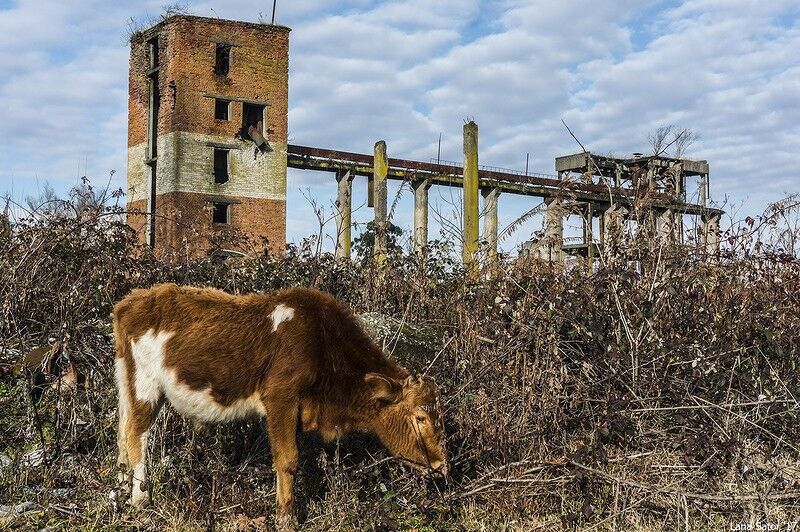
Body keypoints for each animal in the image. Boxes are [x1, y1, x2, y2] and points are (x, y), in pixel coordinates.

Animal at [111, 284, 446, 520]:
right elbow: (288, 459)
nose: (441, 466)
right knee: (136, 434)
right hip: (145, 385)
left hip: (126, 382)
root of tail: (131, 300)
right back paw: (140, 499)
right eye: (420, 417)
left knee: (123, 435)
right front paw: (286, 516)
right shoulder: (280, 397)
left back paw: (120, 490)